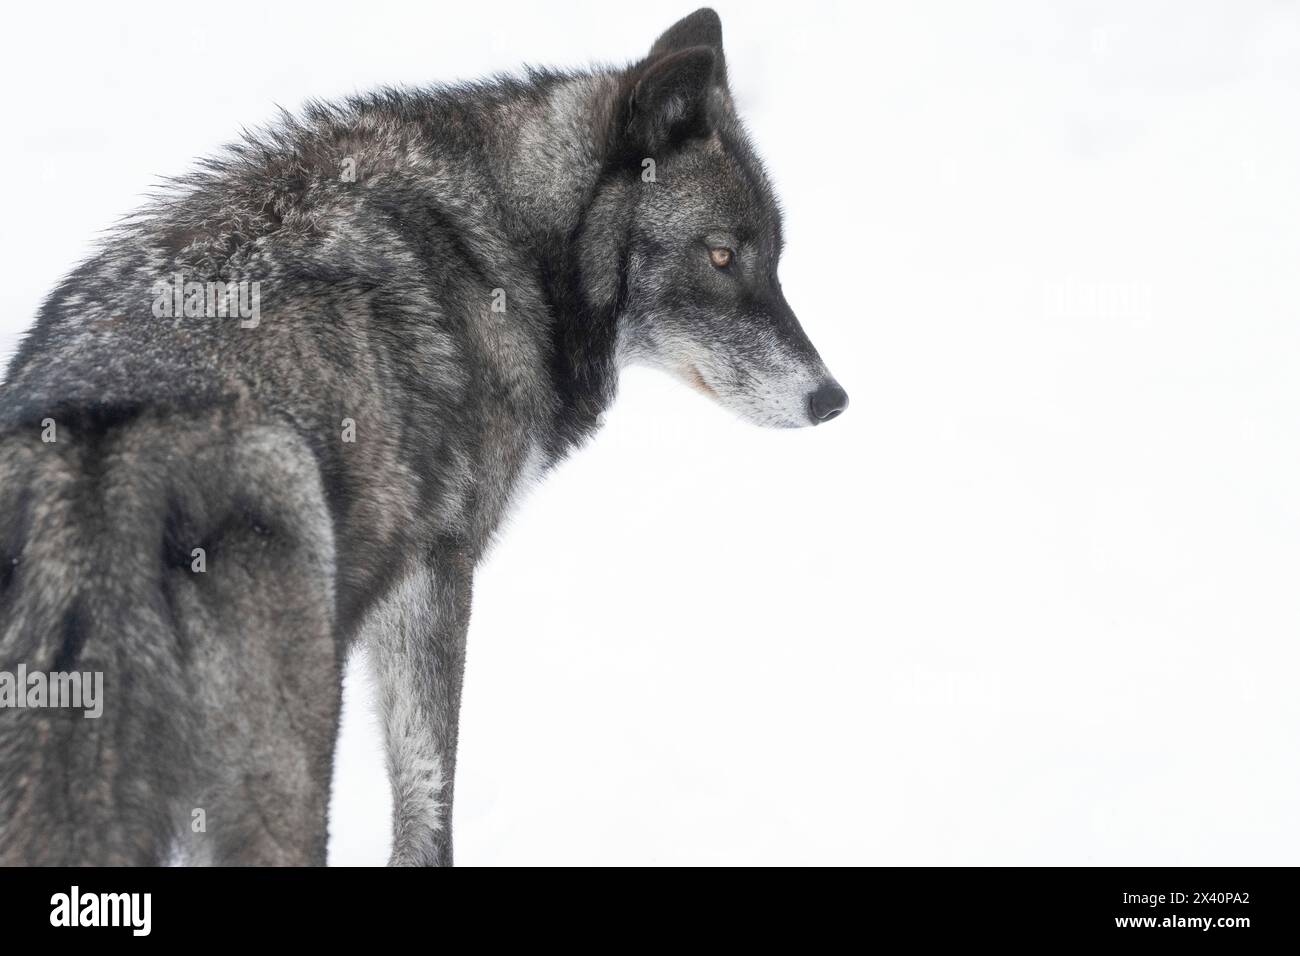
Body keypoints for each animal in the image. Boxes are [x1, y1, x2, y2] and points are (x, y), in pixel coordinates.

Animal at [0, 7, 847, 868]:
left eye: (775, 260)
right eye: (721, 255)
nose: (832, 398)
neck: (511, 246)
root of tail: (101, 470)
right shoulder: (437, 571)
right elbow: (429, 790)